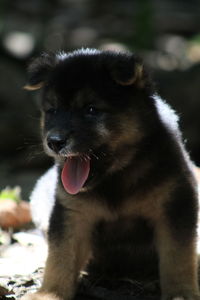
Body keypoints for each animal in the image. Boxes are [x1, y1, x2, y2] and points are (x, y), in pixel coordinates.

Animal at [24, 48, 199, 300]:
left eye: (91, 110)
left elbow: (178, 257)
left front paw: (181, 293)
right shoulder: (72, 214)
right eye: (52, 111)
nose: (55, 142)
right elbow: (60, 258)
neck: (116, 177)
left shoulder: (175, 205)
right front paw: (50, 293)